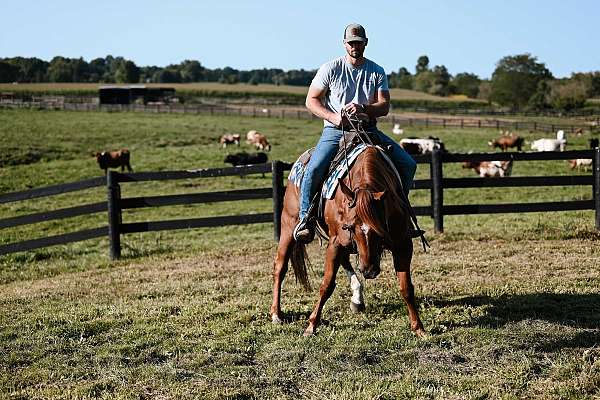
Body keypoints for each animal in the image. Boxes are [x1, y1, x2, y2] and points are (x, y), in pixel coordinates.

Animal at [272, 145, 426, 336]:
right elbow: (327, 285)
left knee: (345, 261)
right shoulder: (335, 243)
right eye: (350, 227)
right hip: (288, 226)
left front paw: (419, 328)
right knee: (280, 267)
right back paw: (276, 314)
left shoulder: (403, 244)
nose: (369, 270)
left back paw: (357, 298)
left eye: (379, 228)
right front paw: (311, 325)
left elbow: (406, 287)